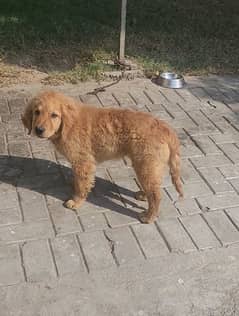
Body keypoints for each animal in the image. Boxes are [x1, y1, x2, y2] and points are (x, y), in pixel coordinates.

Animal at [22, 90, 183, 223]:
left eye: (54, 115)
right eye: (37, 112)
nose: (38, 130)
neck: (67, 126)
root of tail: (165, 128)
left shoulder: (83, 162)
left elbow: (81, 185)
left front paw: (76, 201)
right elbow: (79, 181)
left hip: (145, 164)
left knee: (156, 194)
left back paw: (148, 217)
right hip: (150, 165)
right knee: (154, 186)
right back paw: (143, 195)